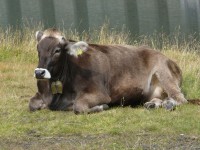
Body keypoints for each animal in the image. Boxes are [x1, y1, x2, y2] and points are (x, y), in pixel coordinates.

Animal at [28, 28, 188, 113]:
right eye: (38, 49)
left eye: (57, 50)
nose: (39, 72)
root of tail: (168, 58)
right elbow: (31, 104)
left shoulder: (100, 93)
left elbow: (79, 107)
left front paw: (100, 107)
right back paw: (154, 104)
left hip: (164, 74)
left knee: (181, 99)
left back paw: (168, 104)